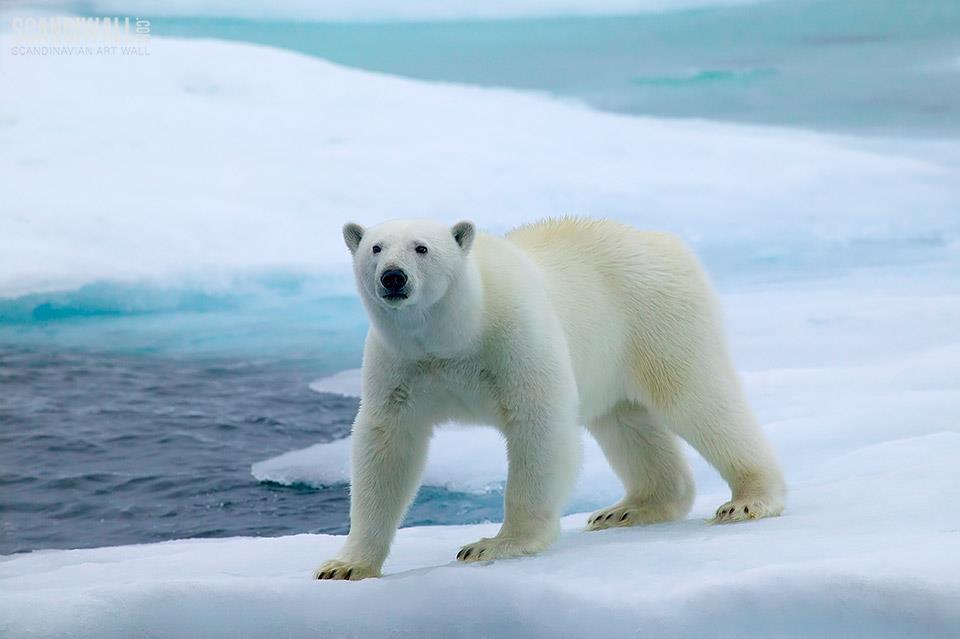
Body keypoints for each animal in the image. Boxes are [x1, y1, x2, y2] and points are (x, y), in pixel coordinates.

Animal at [316, 219, 788, 580]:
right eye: (375, 247)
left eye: (422, 248)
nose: (393, 277)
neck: (456, 333)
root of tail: (664, 241)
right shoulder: (401, 366)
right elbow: (386, 445)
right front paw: (344, 566)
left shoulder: (514, 337)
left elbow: (539, 424)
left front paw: (493, 544)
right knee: (626, 422)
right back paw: (626, 510)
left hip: (657, 318)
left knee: (698, 399)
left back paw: (748, 499)